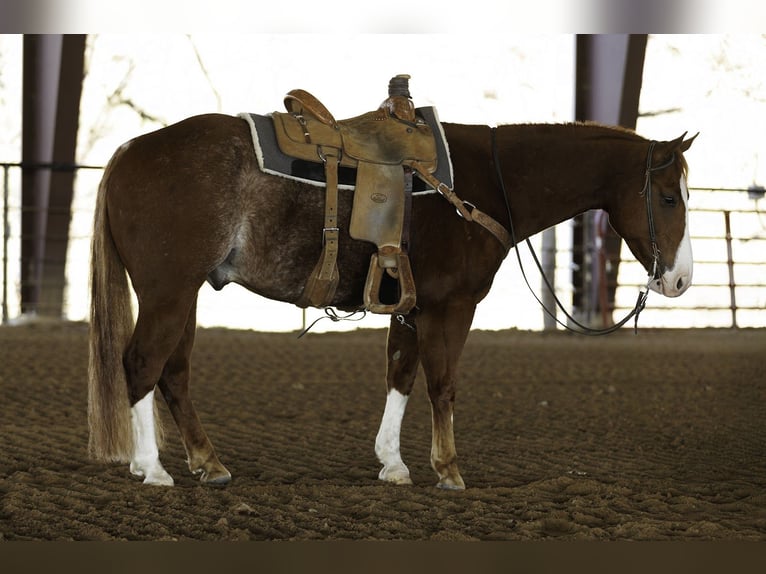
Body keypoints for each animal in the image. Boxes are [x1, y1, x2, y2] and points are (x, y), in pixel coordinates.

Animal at [87, 113, 696, 489]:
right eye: (668, 197)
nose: (681, 280)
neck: (483, 185)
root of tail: (129, 150)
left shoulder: (410, 306)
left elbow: (400, 374)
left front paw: (393, 464)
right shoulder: (451, 307)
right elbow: (441, 383)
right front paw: (448, 470)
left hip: (184, 293)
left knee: (174, 373)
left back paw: (207, 462)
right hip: (167, 292)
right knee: (141, 364)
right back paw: (153, 469)